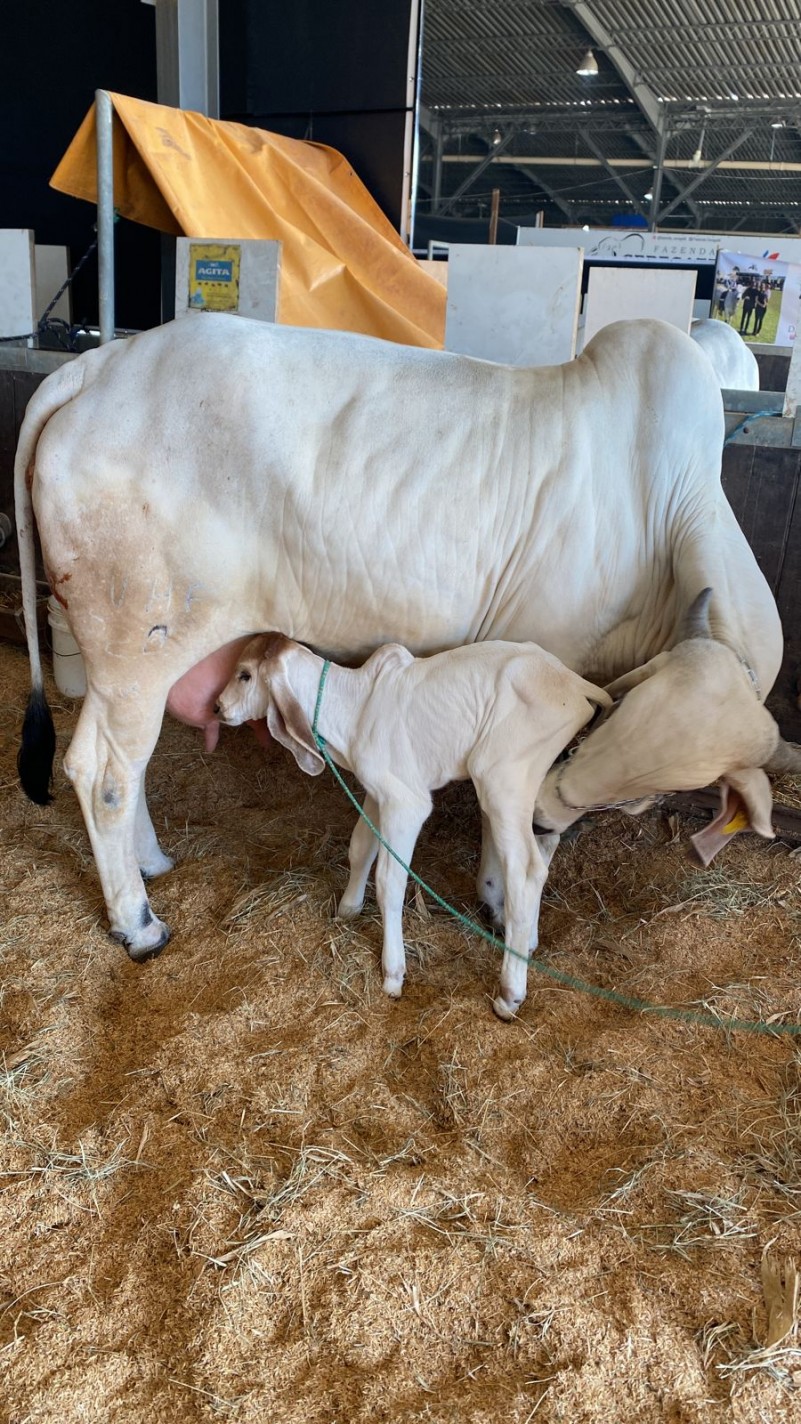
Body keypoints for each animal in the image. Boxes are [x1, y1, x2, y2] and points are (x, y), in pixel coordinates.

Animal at [12, 311, 786, 956]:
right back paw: (137, 921)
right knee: (104, 776)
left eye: (638, 793)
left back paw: (151, 863)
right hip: (134, 646)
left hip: (134, 655)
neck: (664, 508)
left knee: (127, 766)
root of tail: (104, 363)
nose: (546, 814)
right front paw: (498, 893)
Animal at [215, 632, 607, 1013]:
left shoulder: (406, 804)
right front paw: (347, 910)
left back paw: (510, 991)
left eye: (244, 674)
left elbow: (390, 881)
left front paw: (393, 973)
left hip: (500, 778)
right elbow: (360, 848)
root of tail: (574, 683)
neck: (354, 707)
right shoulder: (377, 794)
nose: (217, 707)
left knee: (526, 870)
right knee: (545, 844)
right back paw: (528, 942)